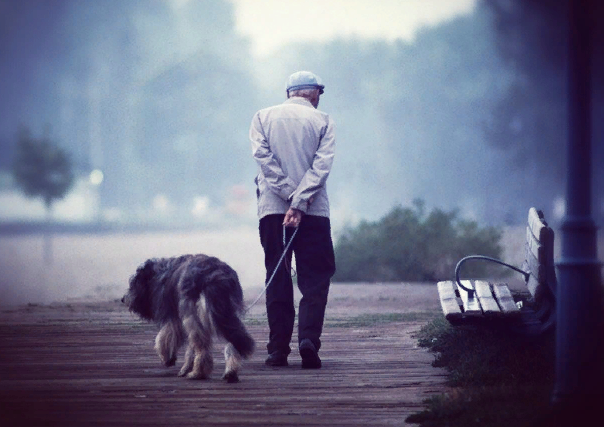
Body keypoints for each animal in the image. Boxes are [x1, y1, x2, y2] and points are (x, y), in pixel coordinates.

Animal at [122, 254, 255, 384]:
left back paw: (198, 373)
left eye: (133, 283)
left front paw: (167, 357)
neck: (159, 272)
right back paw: (230, 372)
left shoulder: (174, 317)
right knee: (233, 341)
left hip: (193, 313)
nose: (123, 299)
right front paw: (185, 367)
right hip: (228, 314)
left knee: (202, 347)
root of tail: (214, 276)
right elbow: (189, 348)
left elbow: (164, 336)